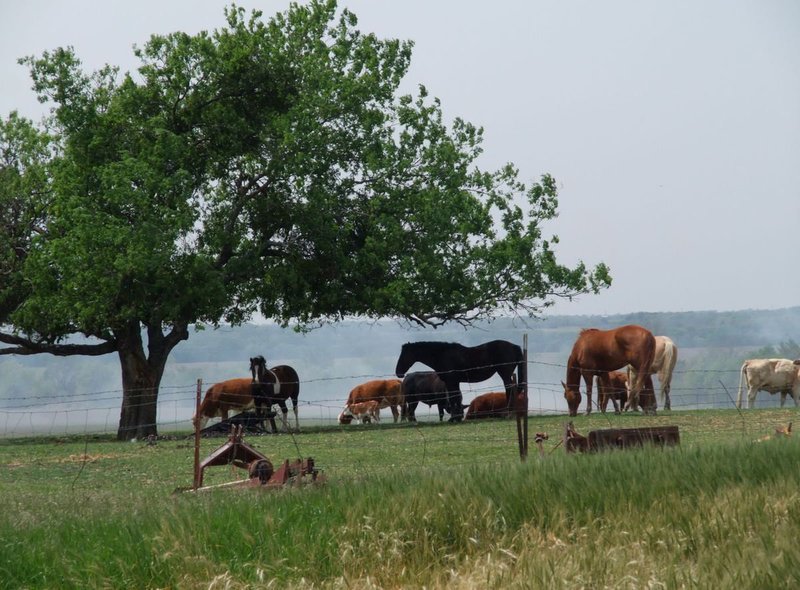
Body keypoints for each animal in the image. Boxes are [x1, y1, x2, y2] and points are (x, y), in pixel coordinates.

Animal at [396, 340, 524, 424]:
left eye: (404, 355)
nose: (398, 372)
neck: (443, 355)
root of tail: (514, 346)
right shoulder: (454, 382)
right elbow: (456, 398)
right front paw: (456, 417)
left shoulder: (451, 382)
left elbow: (453, 398)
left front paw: (454, 418)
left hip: (505, 374)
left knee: (509, 390)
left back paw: (508, 413)